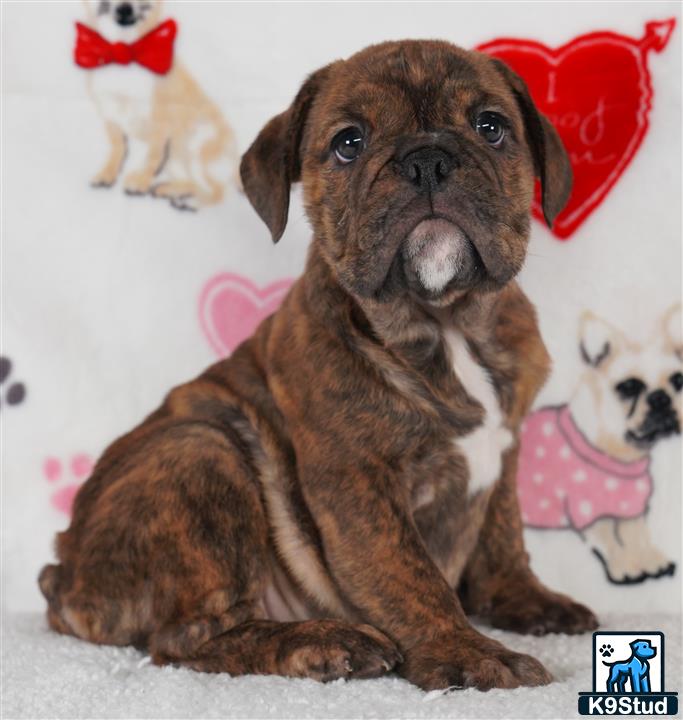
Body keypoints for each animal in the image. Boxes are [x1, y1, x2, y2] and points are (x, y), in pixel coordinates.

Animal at [41, 40, 600, 692]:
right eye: (349, 142)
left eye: (491, 128)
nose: (428, 161)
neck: (447, 324)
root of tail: (65, 576)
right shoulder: (358, 482)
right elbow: (410, 575)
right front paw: (467, 651)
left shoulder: (506, 451)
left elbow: (504, 535)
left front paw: (528, 600)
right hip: (199, 452)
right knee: (190, 638)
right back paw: (323, 642)